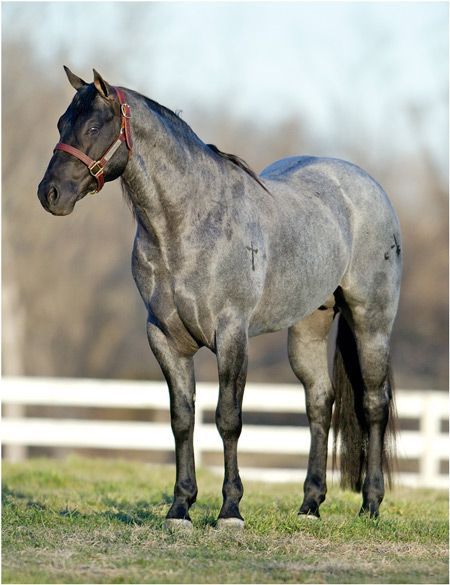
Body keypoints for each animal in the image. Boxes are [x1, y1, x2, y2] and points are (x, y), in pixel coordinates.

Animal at [38, 67, 402, 524]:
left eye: (92, 127)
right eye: (59, 124)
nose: (50, 193)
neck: (186, 228)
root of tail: (366, 186)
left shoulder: (231, 335)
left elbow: (228, 419)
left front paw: (230, 509)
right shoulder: (164, 338)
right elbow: (182, 419)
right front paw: (180, 507)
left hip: (371, 320)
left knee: (373, 404)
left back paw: (370, 504)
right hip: (309, 326)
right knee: (320, 401)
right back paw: (310, 505)